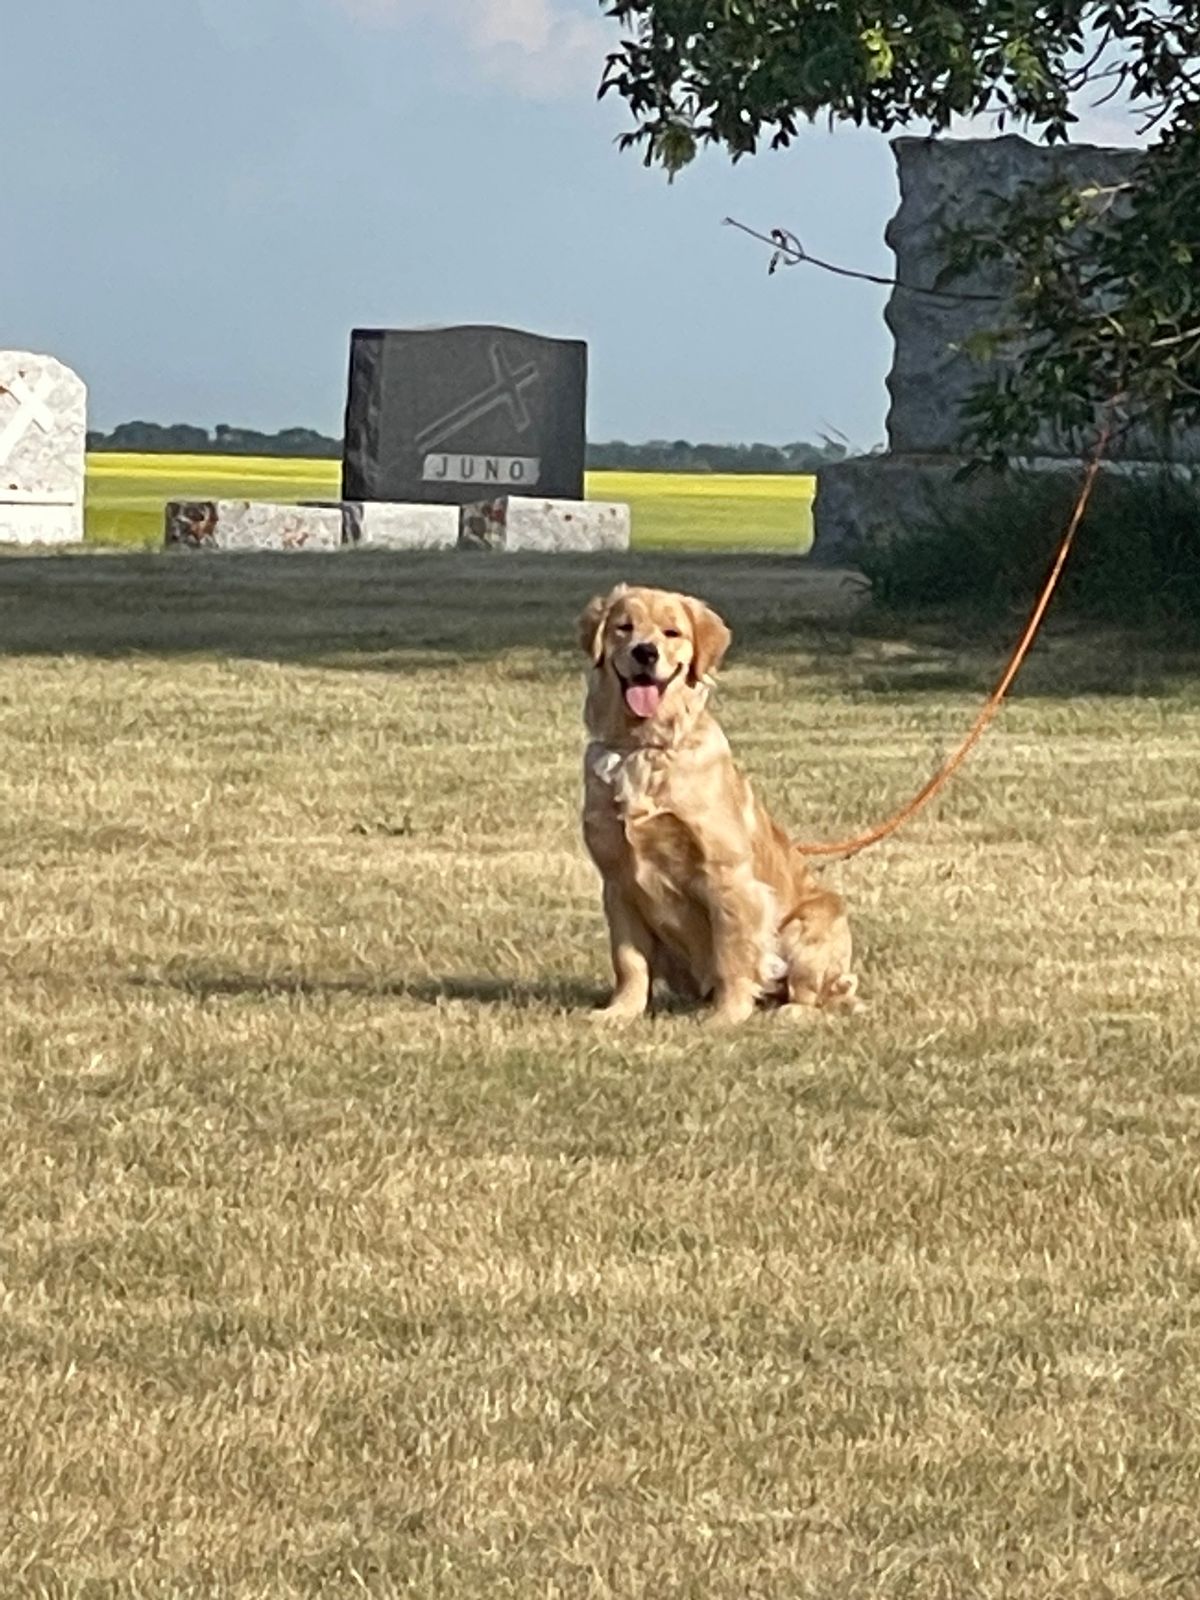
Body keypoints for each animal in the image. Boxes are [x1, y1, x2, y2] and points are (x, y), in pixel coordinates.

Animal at [579, 584, 858, 1025]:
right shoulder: (618, 882)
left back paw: (791, 1012)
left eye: (672, 632)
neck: (645, 747)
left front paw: (726, 1016)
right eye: (624, 627)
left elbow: (732, 954)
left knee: (818, 995)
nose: (646, 653)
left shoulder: (727, 877)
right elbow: (629, 961)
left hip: (816, 920)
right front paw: (620, 1012)